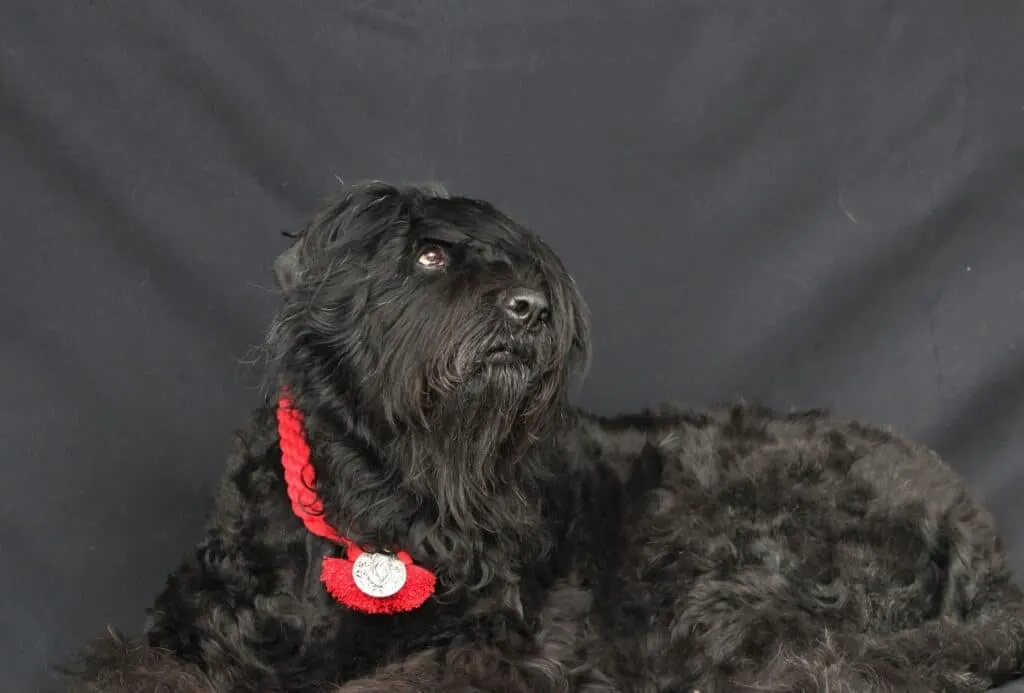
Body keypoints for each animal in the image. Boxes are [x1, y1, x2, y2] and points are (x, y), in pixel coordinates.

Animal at [64, 181, 1024, 687]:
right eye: (428, 255)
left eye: (524, 265)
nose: (530, 307)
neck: (382, 500)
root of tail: (974, 528)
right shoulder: (182, 633)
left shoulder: (507, 645)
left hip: (718, 562)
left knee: (821, 660)